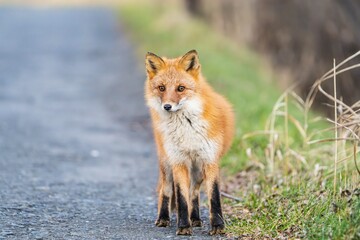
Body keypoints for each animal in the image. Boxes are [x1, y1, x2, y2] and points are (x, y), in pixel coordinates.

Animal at [145, 49, 235, 235]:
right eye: (162, 88)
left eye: (181, 88)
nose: (167, 106)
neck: (187, 128)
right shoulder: (178, 161)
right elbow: (181, 197)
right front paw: (184, 226)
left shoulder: (210, 160)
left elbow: (213, 196)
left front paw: (218, 226)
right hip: (167, 163)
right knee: (166, 190)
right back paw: (163, 218)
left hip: (198, 170)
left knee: (194, 192)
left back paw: (195, 219)